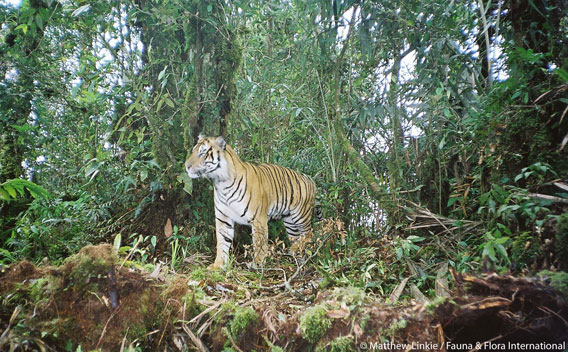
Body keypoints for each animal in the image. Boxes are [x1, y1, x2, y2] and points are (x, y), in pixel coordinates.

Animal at [189, 135, 318, 270]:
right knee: (297, 237)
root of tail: (308, 179)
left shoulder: (258, 219)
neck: (221, 183)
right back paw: (299, 258)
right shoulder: (223, 218)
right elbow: (222, 242)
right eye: (193, 151)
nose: (186, 166)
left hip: (301, 215)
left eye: (202, 153)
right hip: (290, 221)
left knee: (309, 234)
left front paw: (257, 264)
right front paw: (218, 265)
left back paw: (295, 250)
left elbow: (259, 244)